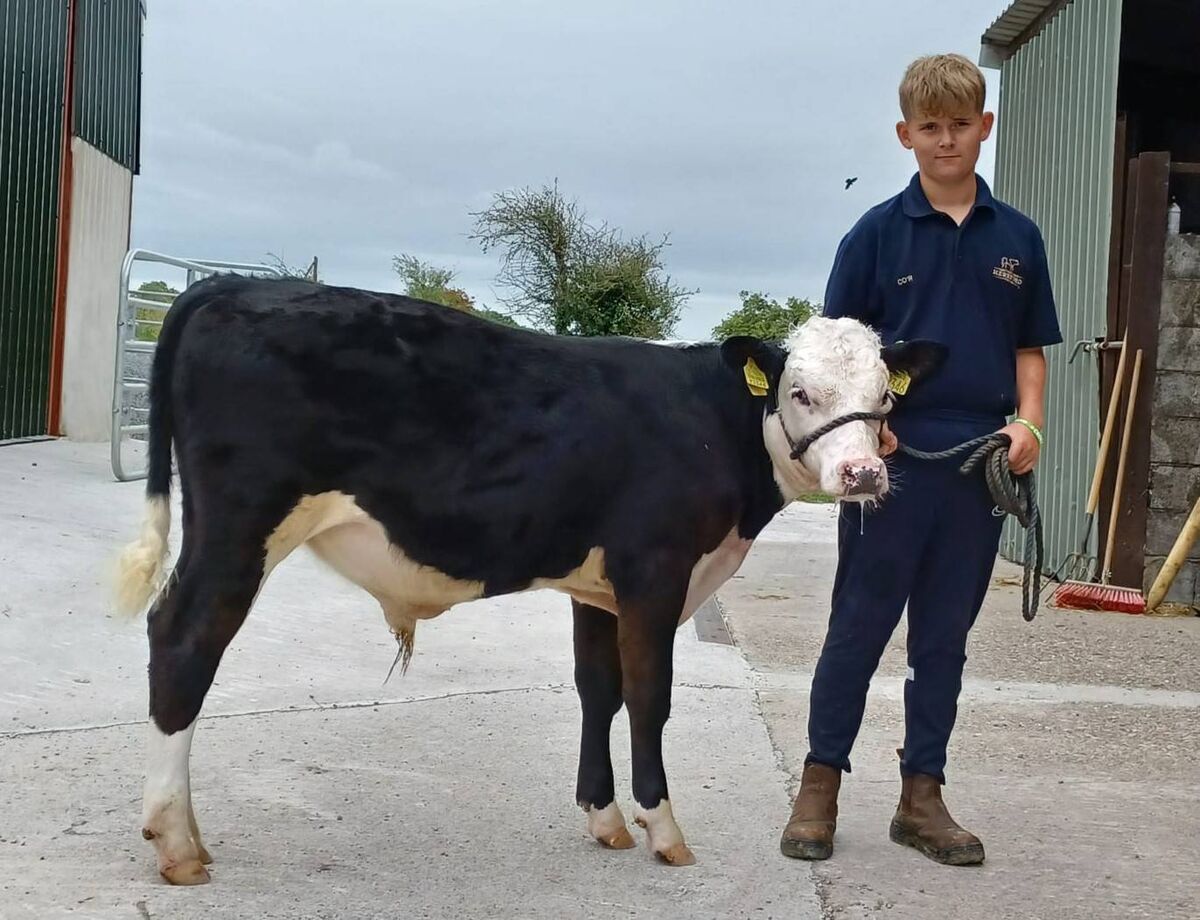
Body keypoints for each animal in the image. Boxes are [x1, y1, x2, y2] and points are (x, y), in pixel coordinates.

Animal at [114, 275, 944, 885]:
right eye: (800, 392)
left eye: (885, 396)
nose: (864, 473)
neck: (716, 423)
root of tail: (232, 283)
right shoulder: (655, 573)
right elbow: (650, 698)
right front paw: (663, 828)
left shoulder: (597, 589)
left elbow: (598, 690)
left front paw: (604, 819)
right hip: (241, 527)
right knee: (182, 640)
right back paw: (177, 841)